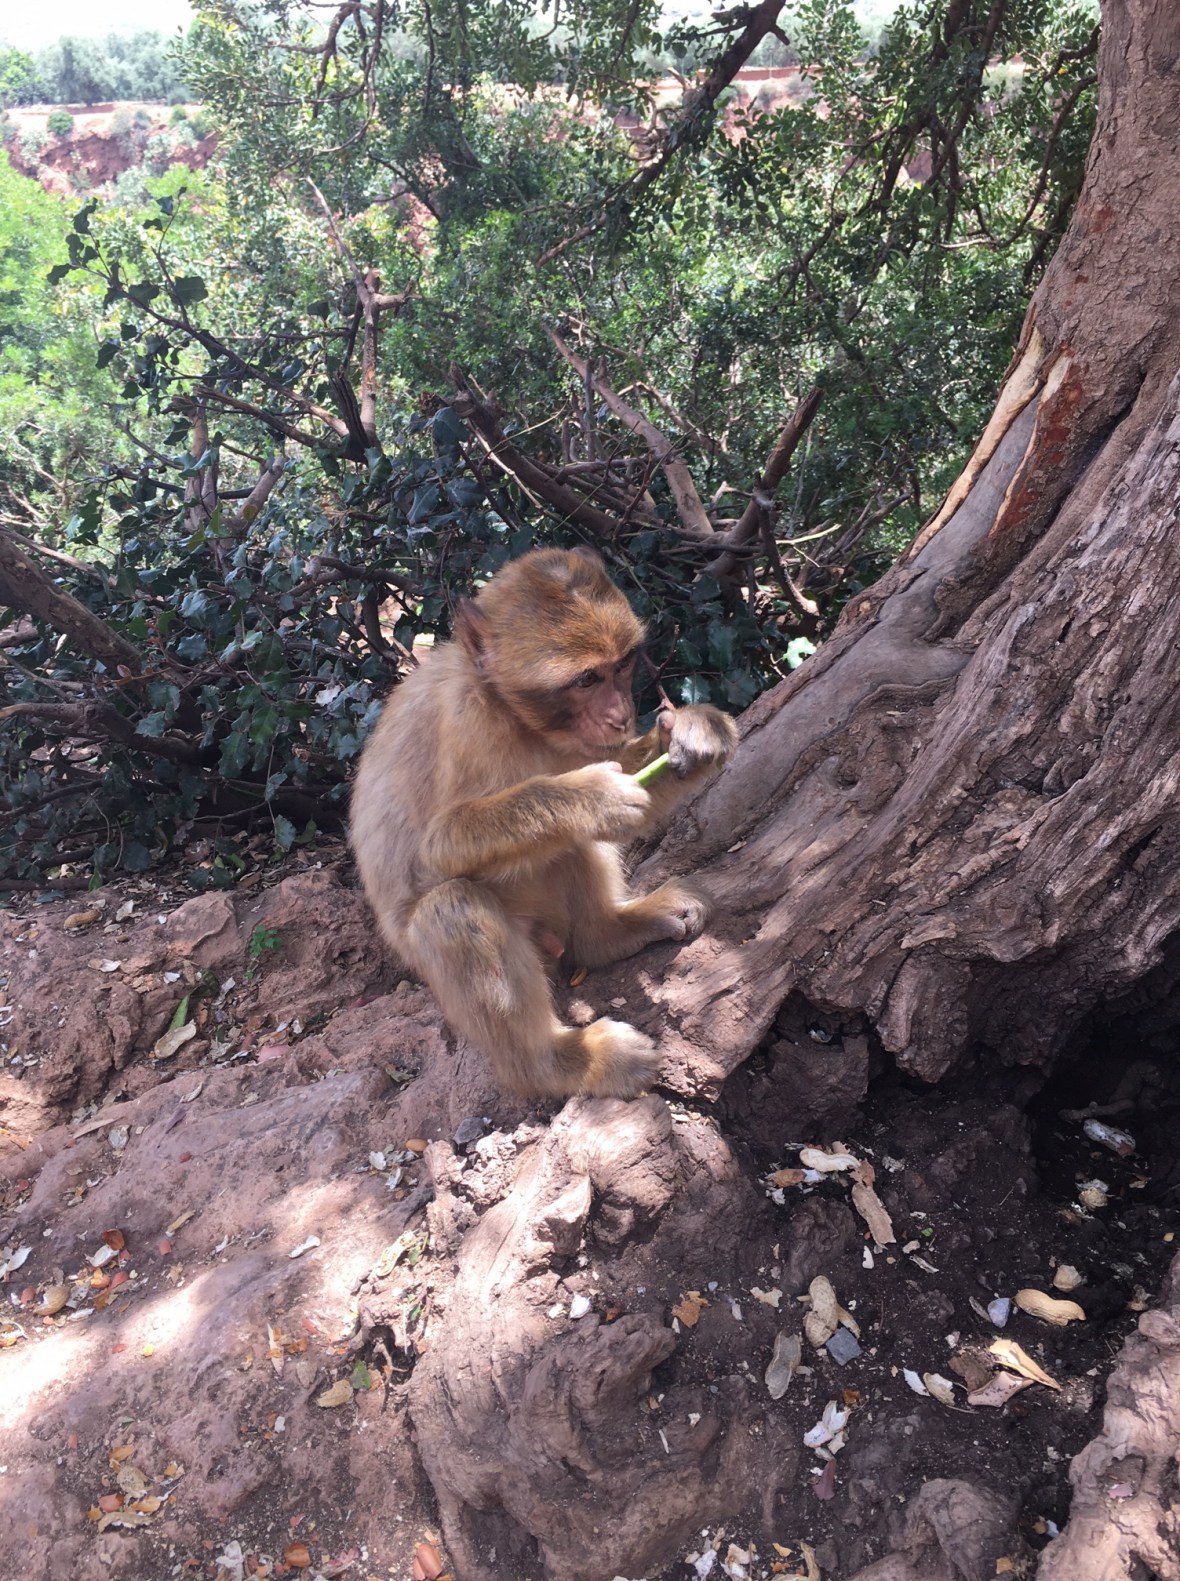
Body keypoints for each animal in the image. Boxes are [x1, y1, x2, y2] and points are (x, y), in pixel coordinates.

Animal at [349, 547, 738, 1100]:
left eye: (622, 665)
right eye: (586, 679)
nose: (622, 714)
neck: (511, 714)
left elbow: (629, 779)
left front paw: (695, 730)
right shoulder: (468, 725)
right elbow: (440, 847)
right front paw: (590, 797)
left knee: (569, 851)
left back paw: (608, 933)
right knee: (452, 906)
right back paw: (557, 1063)